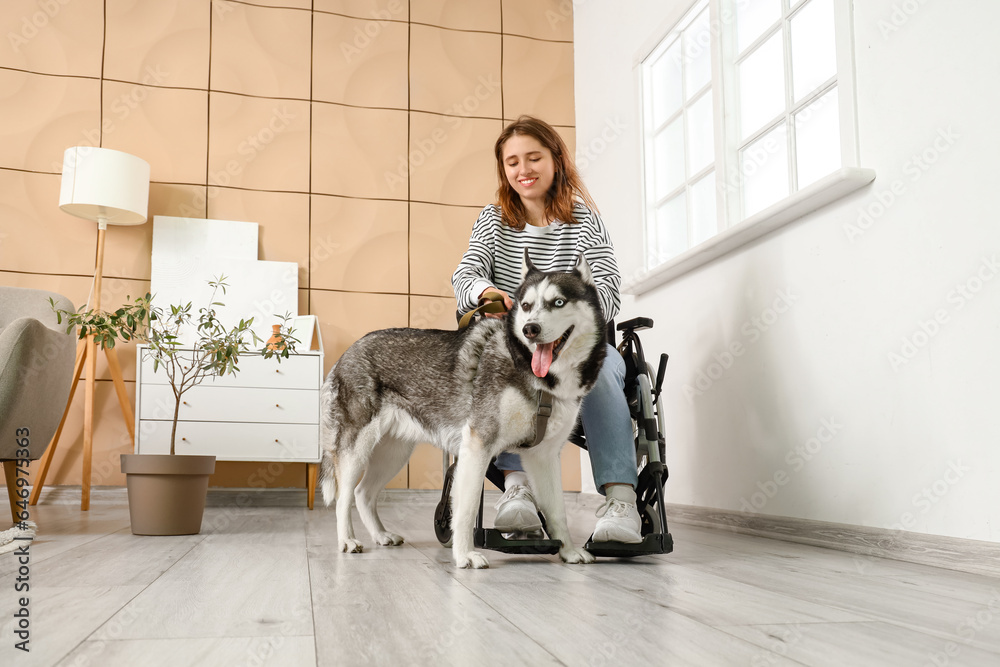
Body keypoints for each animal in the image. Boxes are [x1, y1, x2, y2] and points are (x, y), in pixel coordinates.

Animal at [320, 250, 604, 568]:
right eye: (526, 305)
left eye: (558, 302)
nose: (530, 329)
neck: (540, 379)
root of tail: (350, 351)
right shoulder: (477, 447)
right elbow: (465, 509)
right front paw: (464, 553)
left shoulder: (543, 456)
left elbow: (557, 511)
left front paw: (567, 550)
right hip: (357, 449)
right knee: (344, 495)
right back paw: (347, 539)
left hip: (394, 453)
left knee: (363, 493)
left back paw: (381, 535)